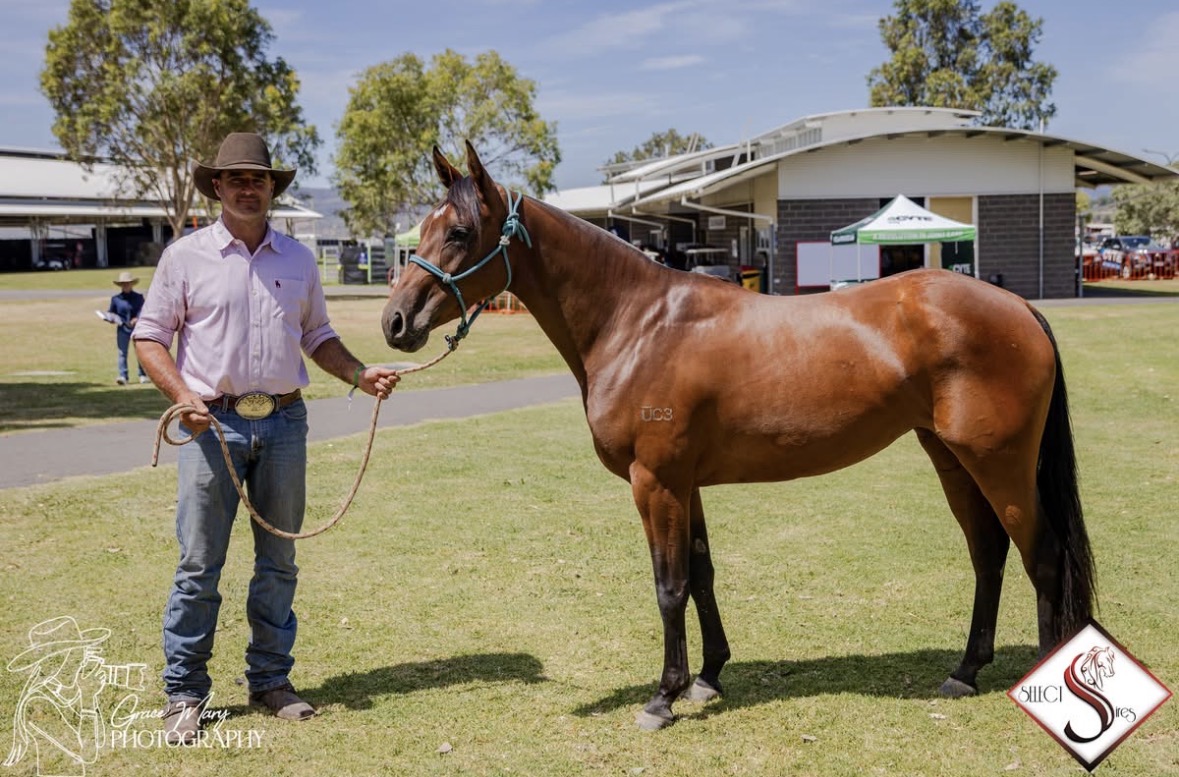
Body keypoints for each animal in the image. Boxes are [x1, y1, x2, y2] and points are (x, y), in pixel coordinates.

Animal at [381, 141, 1097, 730]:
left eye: (460, 232)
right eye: (422, 230)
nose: (394, 322)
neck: (638, 323)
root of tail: (1018, 307)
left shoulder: (656, 483)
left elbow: (669, 585)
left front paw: (663, 697)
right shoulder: (684, 484)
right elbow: (701, 573)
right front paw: (707, 677)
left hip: (999, 462)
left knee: (1041, 555)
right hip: (951, 459)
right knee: (988, 553)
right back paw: (964, 672)